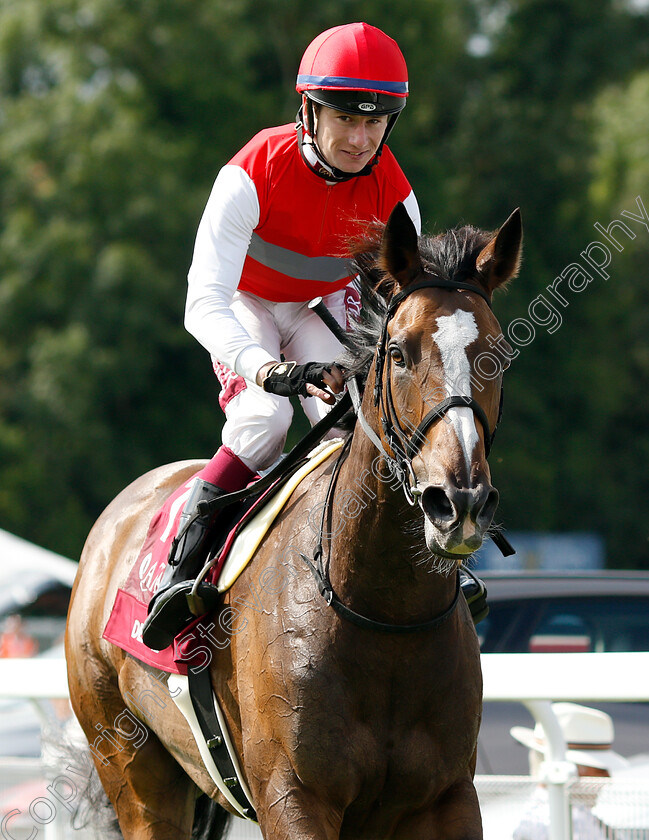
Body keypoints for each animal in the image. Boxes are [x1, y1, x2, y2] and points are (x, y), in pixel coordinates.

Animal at [66, 203, 520, 840]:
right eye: (399, 353)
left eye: (498, 353)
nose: (458, 502)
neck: (384, 613)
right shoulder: (294, 795)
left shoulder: (447, 797)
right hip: (130, 763)